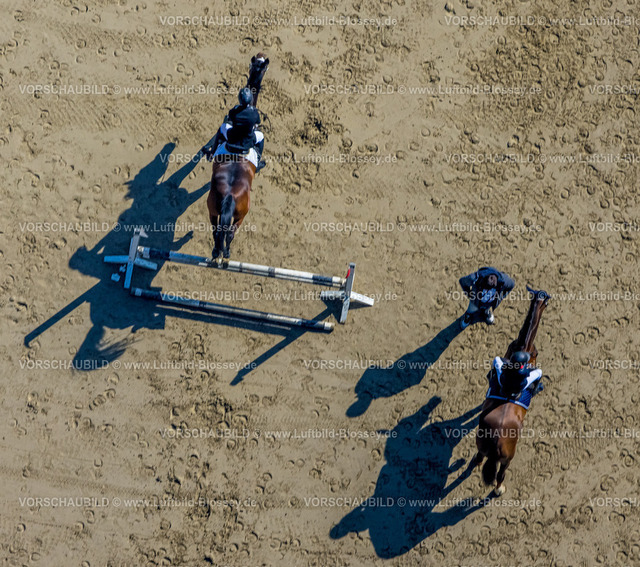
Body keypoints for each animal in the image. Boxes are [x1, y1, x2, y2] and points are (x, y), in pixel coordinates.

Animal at [207, 53, 269, 260]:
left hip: (212, 210)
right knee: (229, 234)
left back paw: (216, 251)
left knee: (216, 231)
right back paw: (225, 253)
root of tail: (229, 196)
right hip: (240, 216)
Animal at [473, 285, 550, 495]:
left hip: (481, 445)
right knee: (500, 474)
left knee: (478, 458)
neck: (524, 345)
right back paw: (499, 489)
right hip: (508, 458)